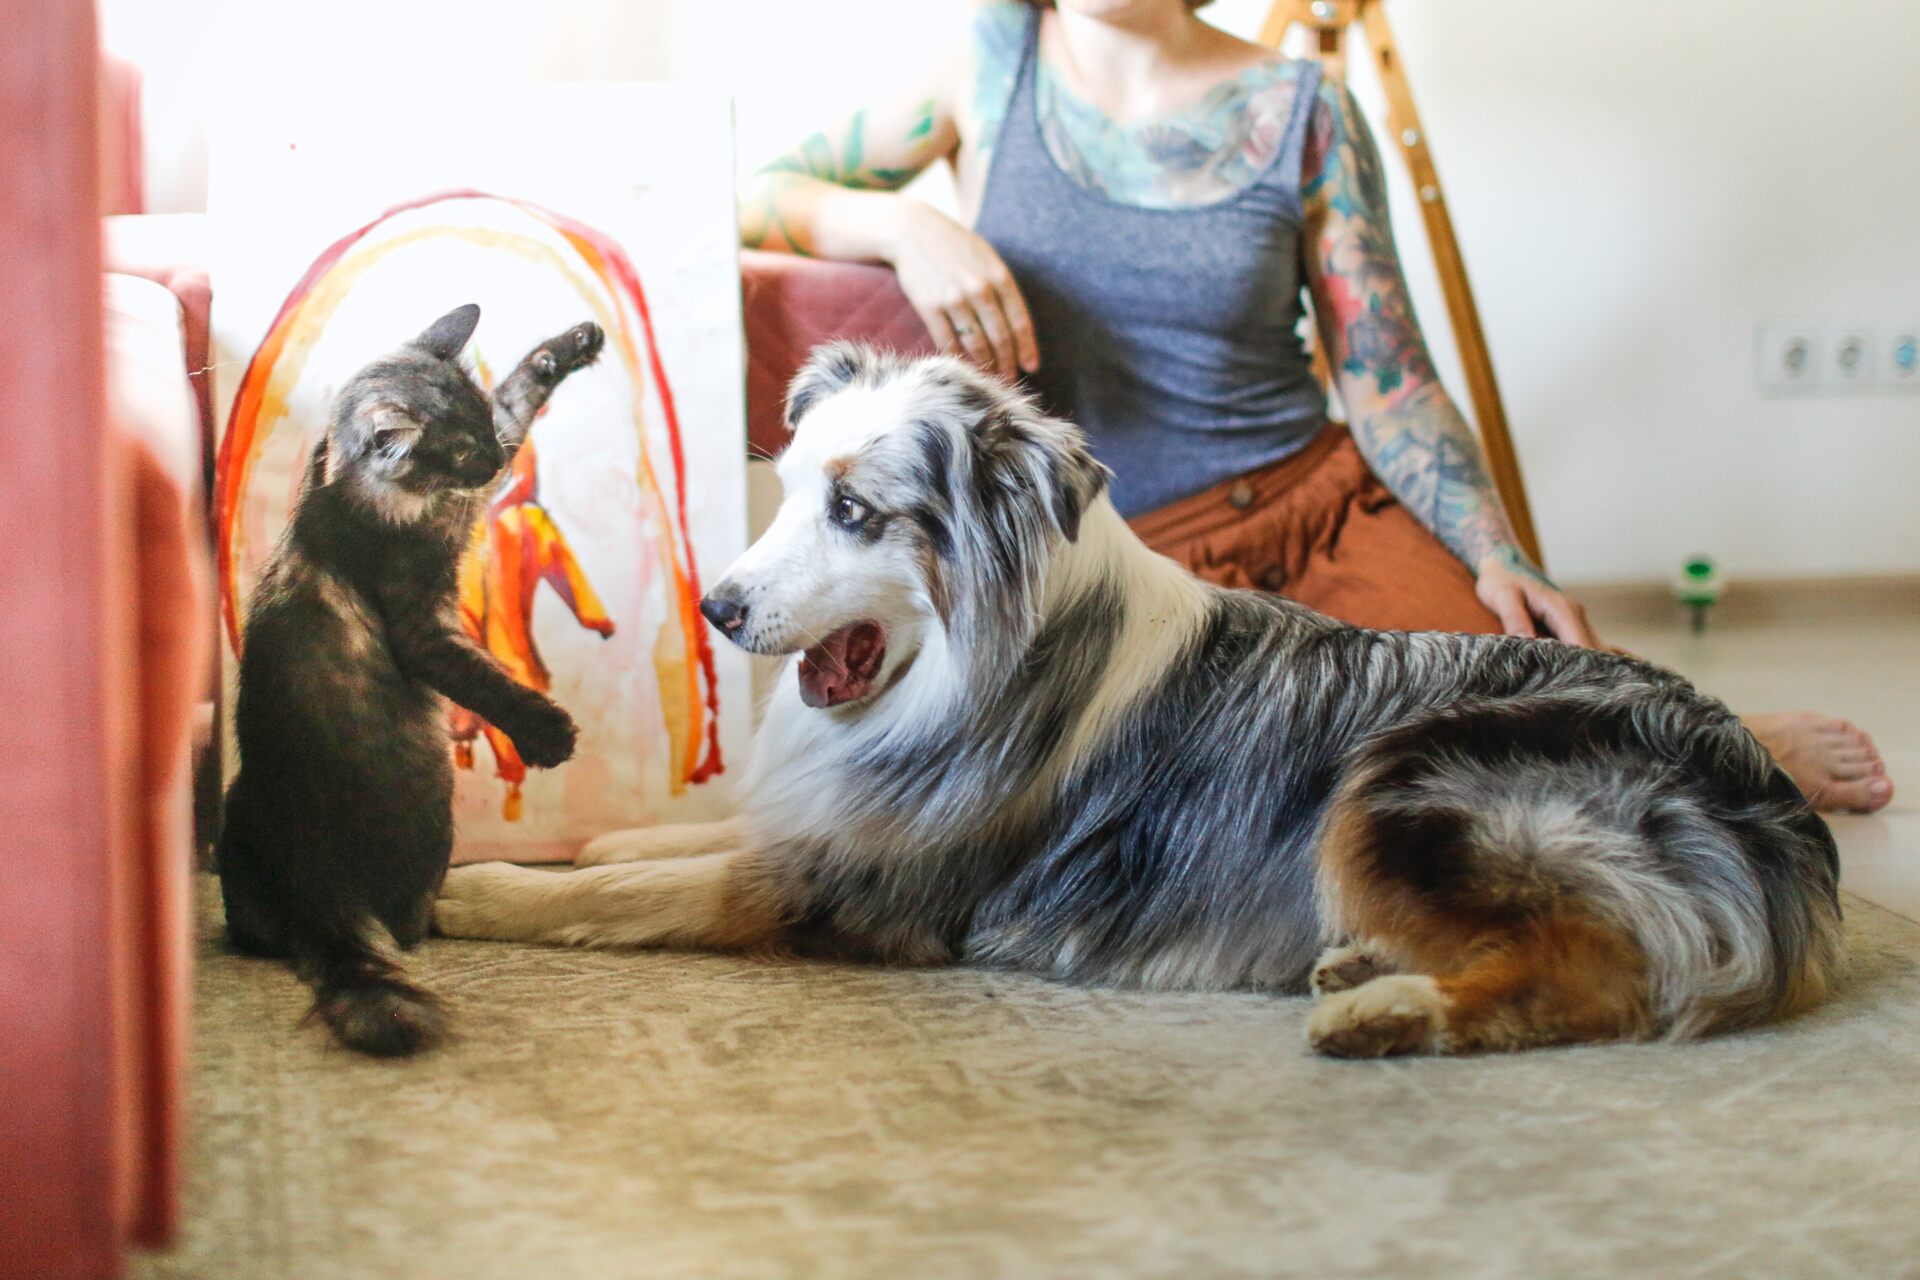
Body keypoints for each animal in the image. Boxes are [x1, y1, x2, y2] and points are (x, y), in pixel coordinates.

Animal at [211, 305, 602, 1059]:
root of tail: (320, 892)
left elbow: (518, 395)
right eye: (459, 452)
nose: (495, 462)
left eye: (479, 424)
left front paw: (571, 346)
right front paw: (547, 735)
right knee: (406, 929)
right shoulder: (424, 623)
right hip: (434, 822)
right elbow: (485, 681)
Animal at [439, 343, 1843, 1059]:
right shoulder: (823, 815)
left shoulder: (863, 886)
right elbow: (673, 834)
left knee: (1603, 971)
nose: (721, 608)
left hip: (1395, 778)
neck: (970, 667)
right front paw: (578, 831)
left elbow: (648, 890)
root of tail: (1766, 794)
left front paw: (478, 887)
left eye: (856, 511)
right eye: (787, 489)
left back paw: (1388, 1008)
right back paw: (1367, 959)